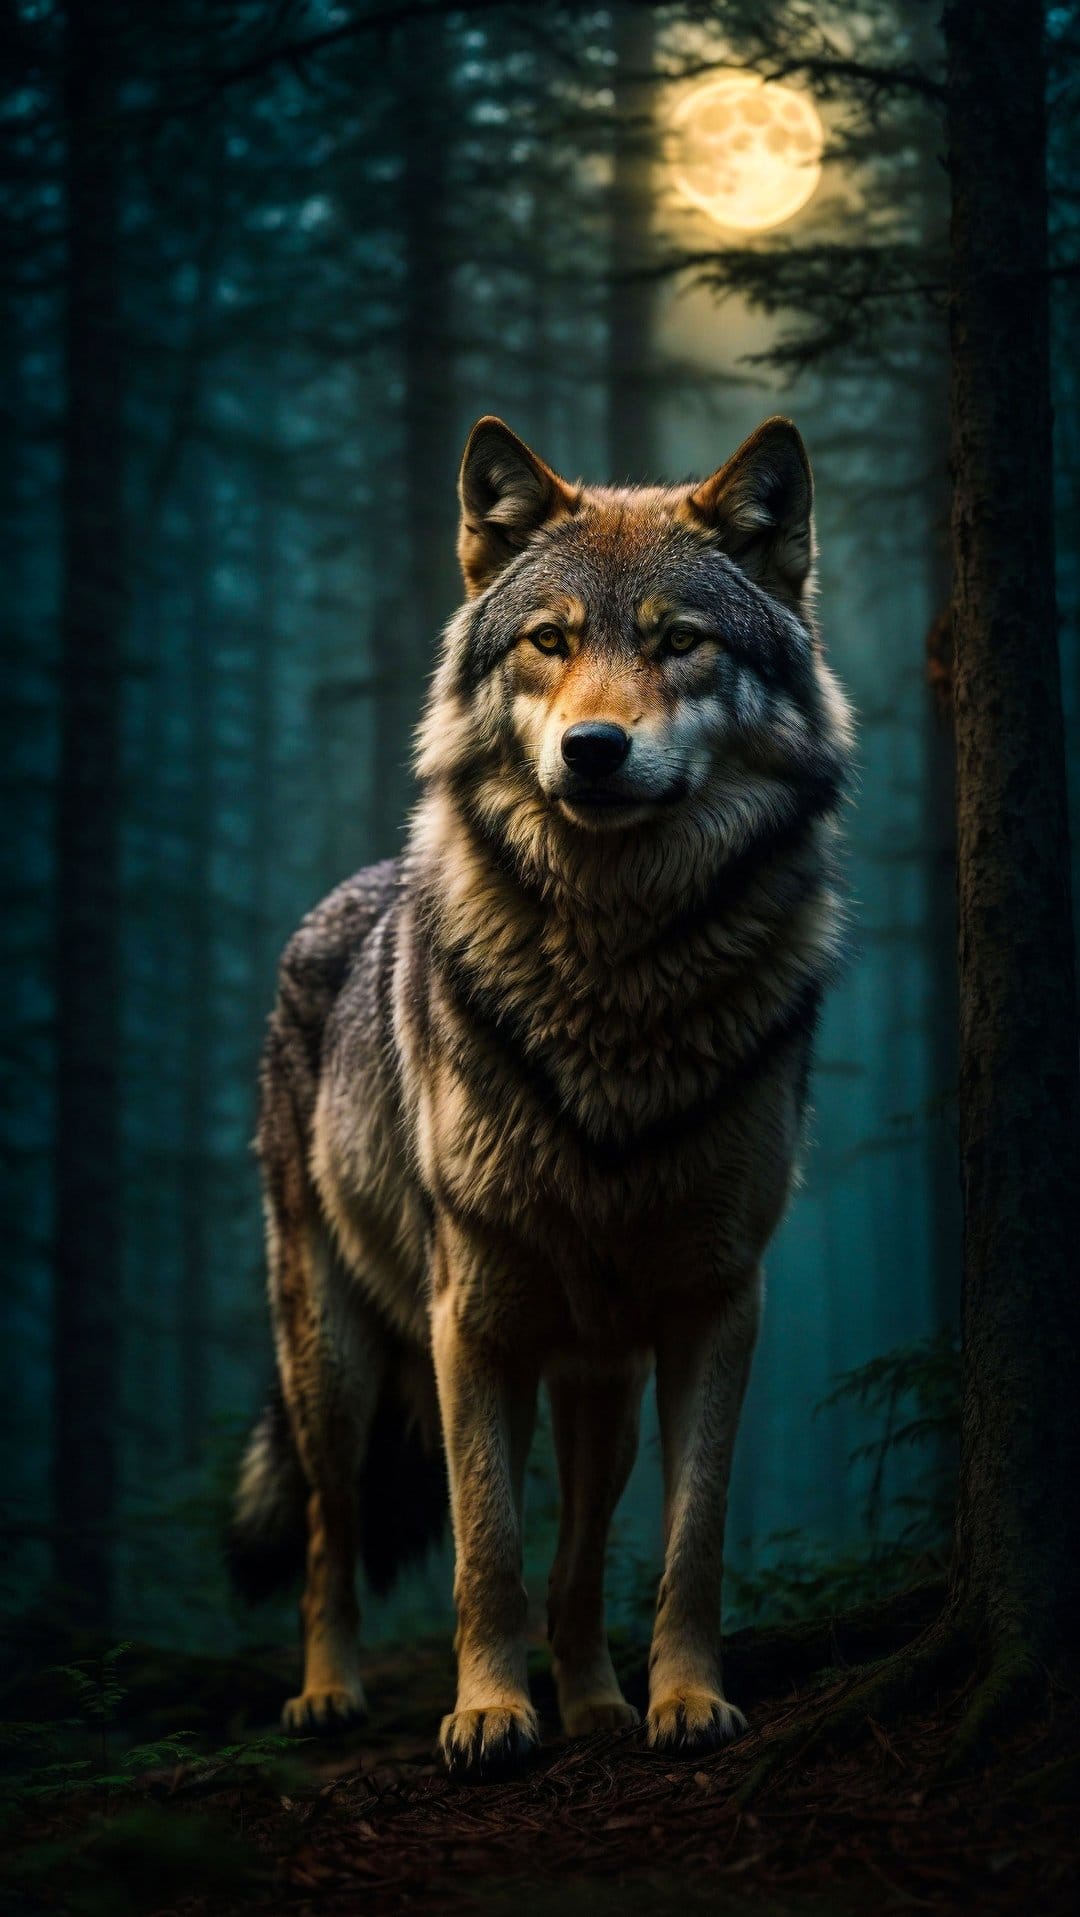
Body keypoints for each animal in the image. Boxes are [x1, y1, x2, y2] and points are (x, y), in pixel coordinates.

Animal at [230, 414, 852, 1780]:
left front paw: (678, 1701)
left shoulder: (715, 1301)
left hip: (597, 1373)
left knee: (580, 1549)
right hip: (335, 1359)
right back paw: (327, 1694)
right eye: (551, 641)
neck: (614, 980)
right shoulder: (475, 1315)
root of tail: (342, 894)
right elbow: (487, 1547)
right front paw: (486, 1715)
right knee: (330, 1534)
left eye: (679, 640)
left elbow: (681, 1544)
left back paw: (600, 1702)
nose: (593, 749)